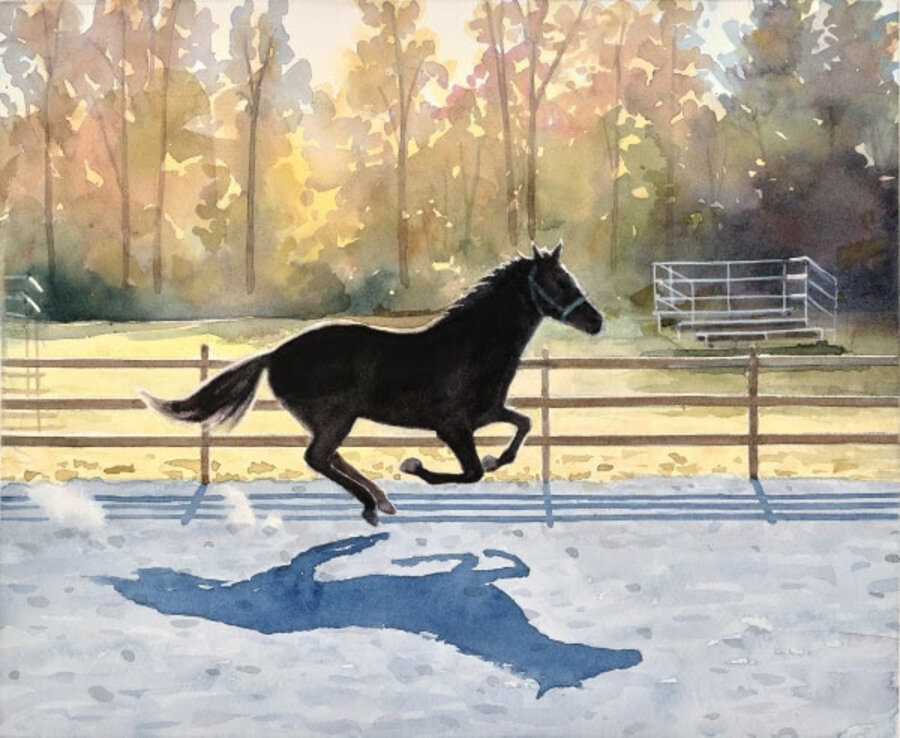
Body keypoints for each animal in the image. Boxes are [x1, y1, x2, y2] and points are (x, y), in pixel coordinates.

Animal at [142, 241, 604, 525]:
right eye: (558, 281)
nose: (596, 321)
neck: (470, 346)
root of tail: (275, 354)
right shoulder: (453, 427)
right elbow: (471, 473)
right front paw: (415, 467)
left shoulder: (485, 414)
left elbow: (523, 426)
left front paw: (496, 459)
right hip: (336, 418)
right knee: (317, 458)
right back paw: (372, 503)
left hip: (332, 420)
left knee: (328, 457)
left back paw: (379, 500)